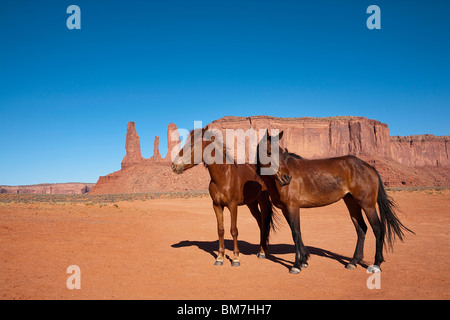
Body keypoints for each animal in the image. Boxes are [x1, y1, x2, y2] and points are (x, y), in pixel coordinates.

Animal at [172, 126, 276, 266]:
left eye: (191, 145)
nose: (174, 166)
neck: (223, 176)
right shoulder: (217, 205)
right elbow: (220, 230)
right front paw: (220, 257)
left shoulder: (233, 205)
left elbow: (234, 230)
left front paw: (236, 258)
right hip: (251, 203)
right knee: (260, 222)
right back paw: (261, 249)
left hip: (263, 200)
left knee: (264, 222)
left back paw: (263, 252)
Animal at [255, 131, 414, 276]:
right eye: (269, 152)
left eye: (282, 153)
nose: (286, 177)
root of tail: (368, 167)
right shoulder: (285, 209)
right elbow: (296, 233)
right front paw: (304, 260)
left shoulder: (293, 207)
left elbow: (296, 233)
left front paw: (296, 265)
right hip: (352, 203)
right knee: (361, 228)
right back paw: (353, 262)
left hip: (368, 206)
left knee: (378, 229)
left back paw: (376, 264)